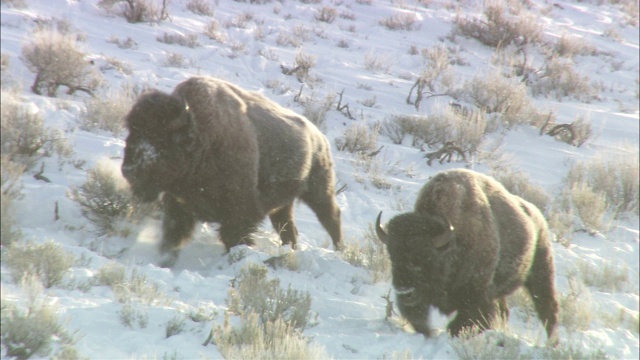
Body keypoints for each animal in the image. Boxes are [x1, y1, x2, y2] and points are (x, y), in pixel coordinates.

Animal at [120, 76, 340, 268]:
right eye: (131, 132)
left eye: (160, 138)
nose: (128, 170)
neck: (202, 135)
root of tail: (319, 137)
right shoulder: (178, 205)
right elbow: (173, 238)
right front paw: (165, 262)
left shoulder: (239, 212)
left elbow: (233, 238)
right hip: (283, 205)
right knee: (288, 229)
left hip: (319, 192)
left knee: (331, 217)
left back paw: (340, 251)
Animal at [378, 169, 556, 344]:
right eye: (392, 256)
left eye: (426, 257)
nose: (404, 291)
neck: (452, 241)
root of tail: (538, 219)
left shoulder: (477, 297)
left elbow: (463, 323)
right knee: (506, 311)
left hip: (540, 273)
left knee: (547, 309)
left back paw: (552, 344)